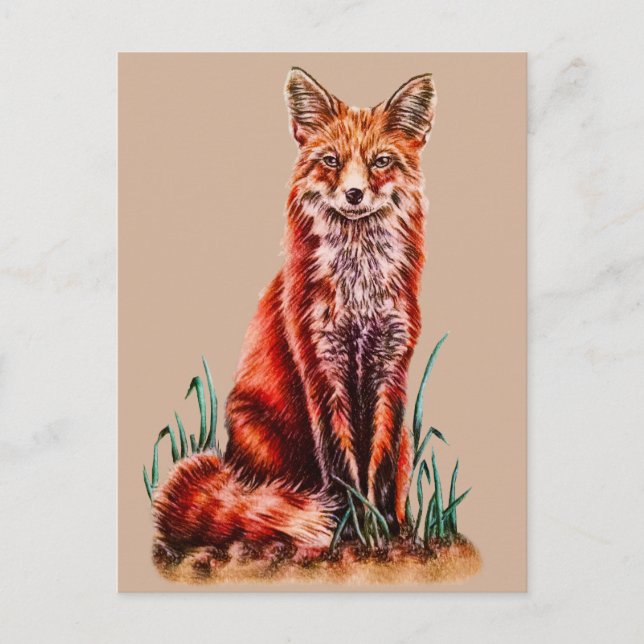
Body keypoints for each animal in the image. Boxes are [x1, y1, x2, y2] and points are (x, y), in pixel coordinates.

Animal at [154, 67, 437, 559]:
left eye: (381, 161)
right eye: (331, 160)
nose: (355, 193)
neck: (358, 291)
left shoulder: (391, 366)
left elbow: (379, 466)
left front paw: (385, 529)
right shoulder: (321, 365)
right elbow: (341, 465)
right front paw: (349, 529)